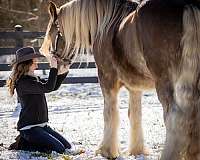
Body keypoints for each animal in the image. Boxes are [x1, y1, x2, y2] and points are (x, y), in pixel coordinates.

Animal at [39, 0, 200, 159]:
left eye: (53, 32)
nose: (56, 64)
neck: (106, 25)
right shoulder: (135, 87)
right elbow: (135, 115)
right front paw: (137, 150)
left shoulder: (106, 79)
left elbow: (110, 114)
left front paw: (106, 151)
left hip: (165, 82)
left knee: (175, 118)